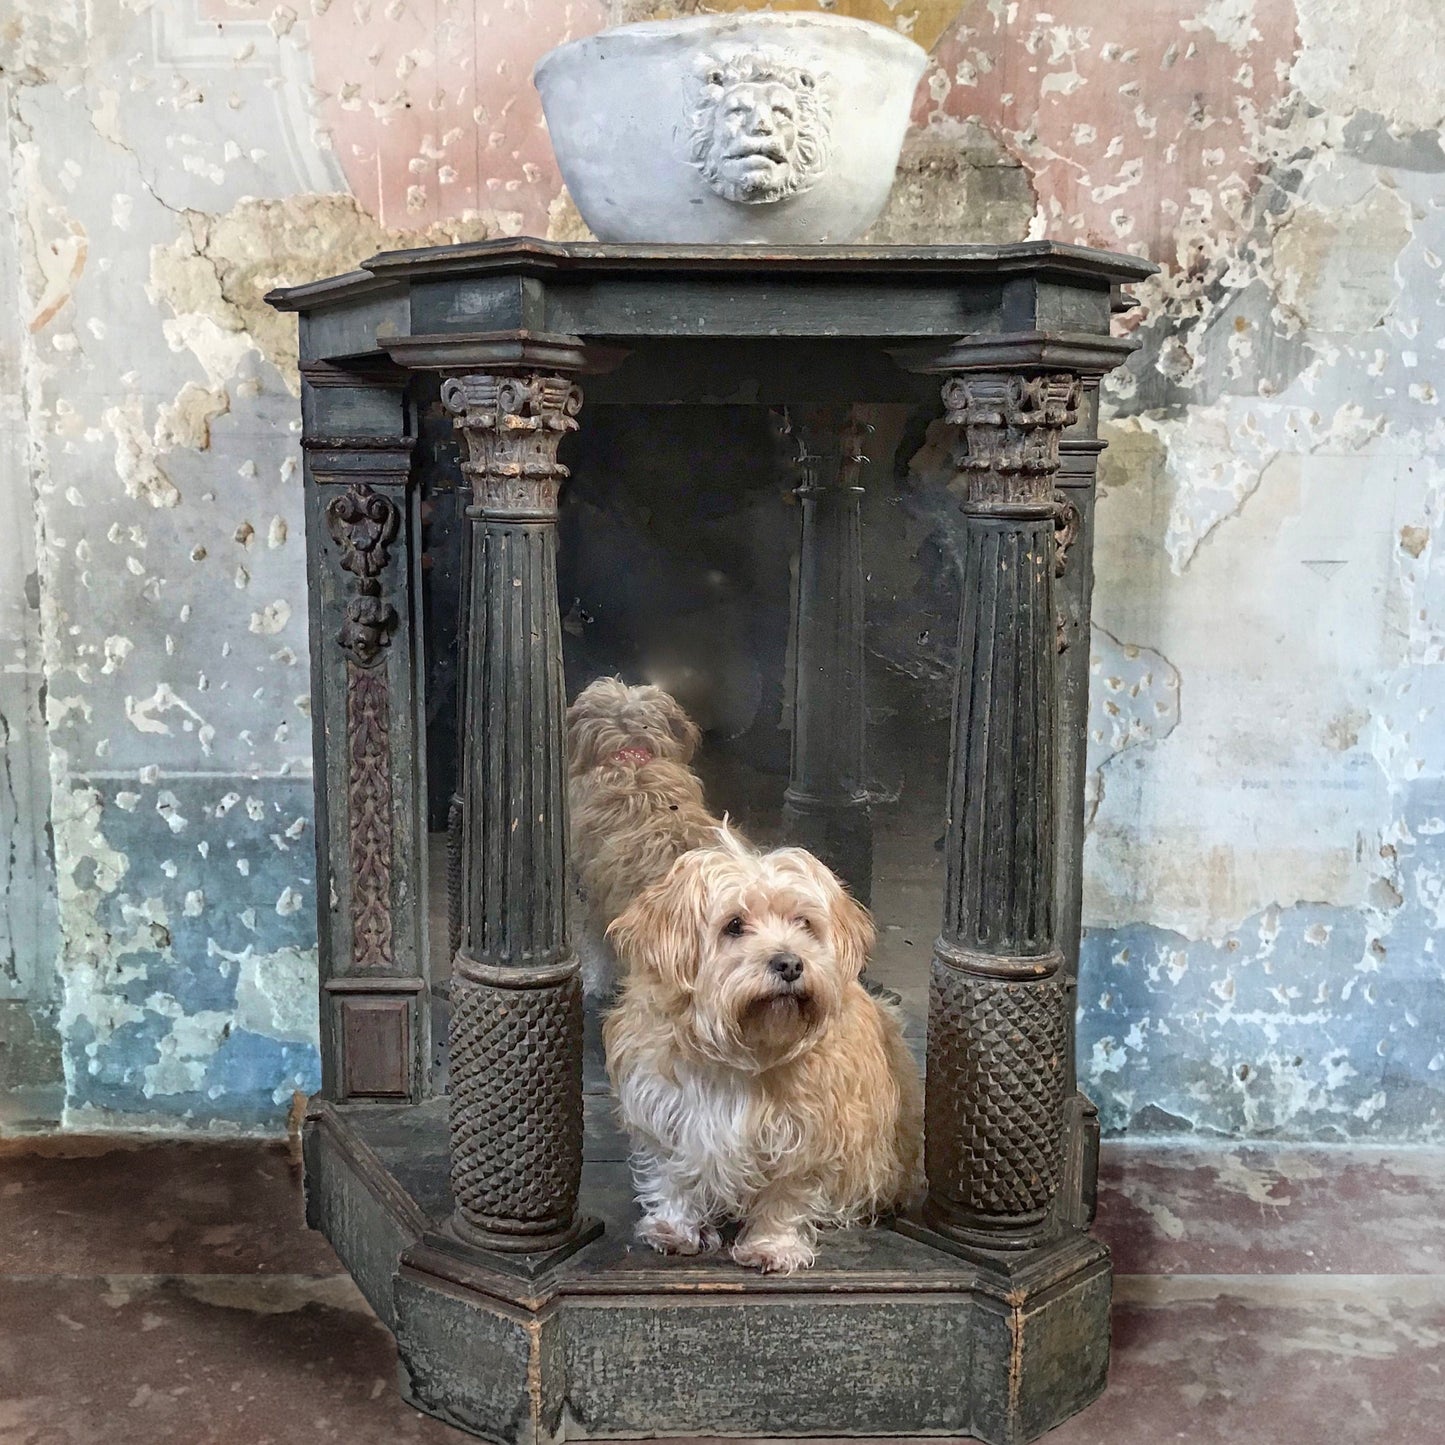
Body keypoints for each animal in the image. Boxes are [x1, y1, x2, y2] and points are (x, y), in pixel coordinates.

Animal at [601, 832, 919, 1271]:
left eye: (804, 923)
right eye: (734, 925)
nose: (789, 963)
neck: (743, 1053)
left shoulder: (807, 1131)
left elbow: (785, 1194)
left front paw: (773, 1244)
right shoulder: (665, 1111)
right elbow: (674, 1173)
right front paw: (674, 1227)